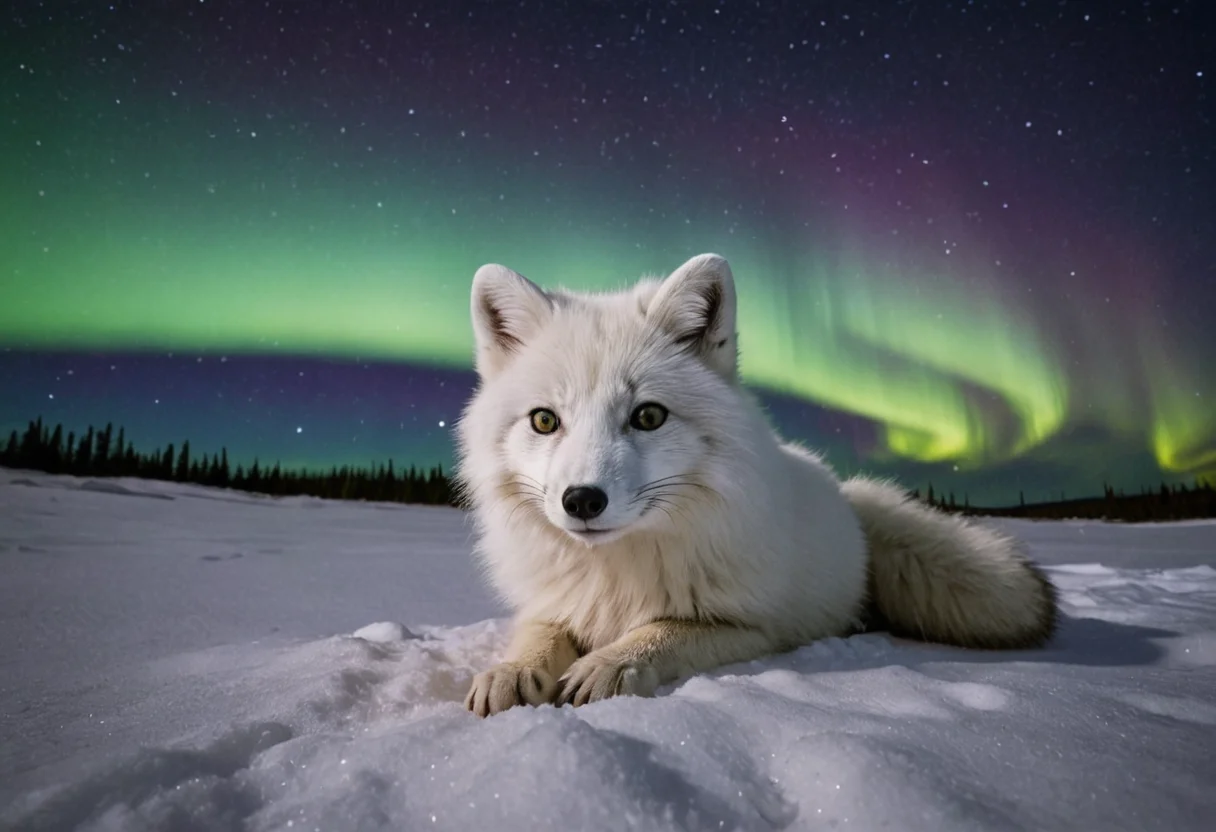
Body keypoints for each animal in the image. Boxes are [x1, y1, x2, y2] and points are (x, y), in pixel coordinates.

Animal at [455, 253, 1057, 717]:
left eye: (648, 416)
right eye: (544, 421)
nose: (581, 500)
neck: (615, 573)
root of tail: (845, 496)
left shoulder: (752, 629)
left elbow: (660, 632)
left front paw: (607, 664)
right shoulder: (555, 603)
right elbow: (541, 633)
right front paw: (512, 670)